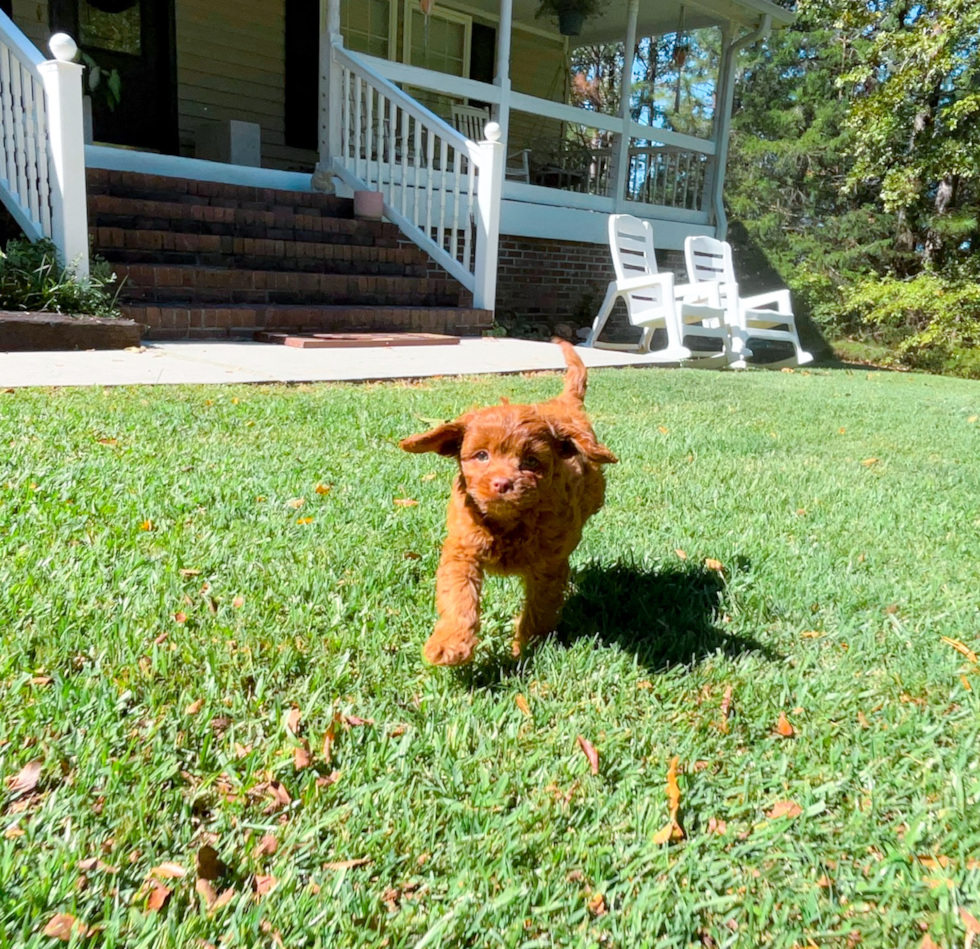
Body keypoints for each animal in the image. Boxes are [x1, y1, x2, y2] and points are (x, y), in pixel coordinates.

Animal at [396, 336, 612, 664]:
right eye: (481, 455)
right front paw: (450, 642)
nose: (501, 483)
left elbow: (539, 609)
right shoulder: (462, 551)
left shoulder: (548, 568)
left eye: (531, 461)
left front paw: (525, 649)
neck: (508, 522)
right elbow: (458, 596)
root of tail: (562, 404)